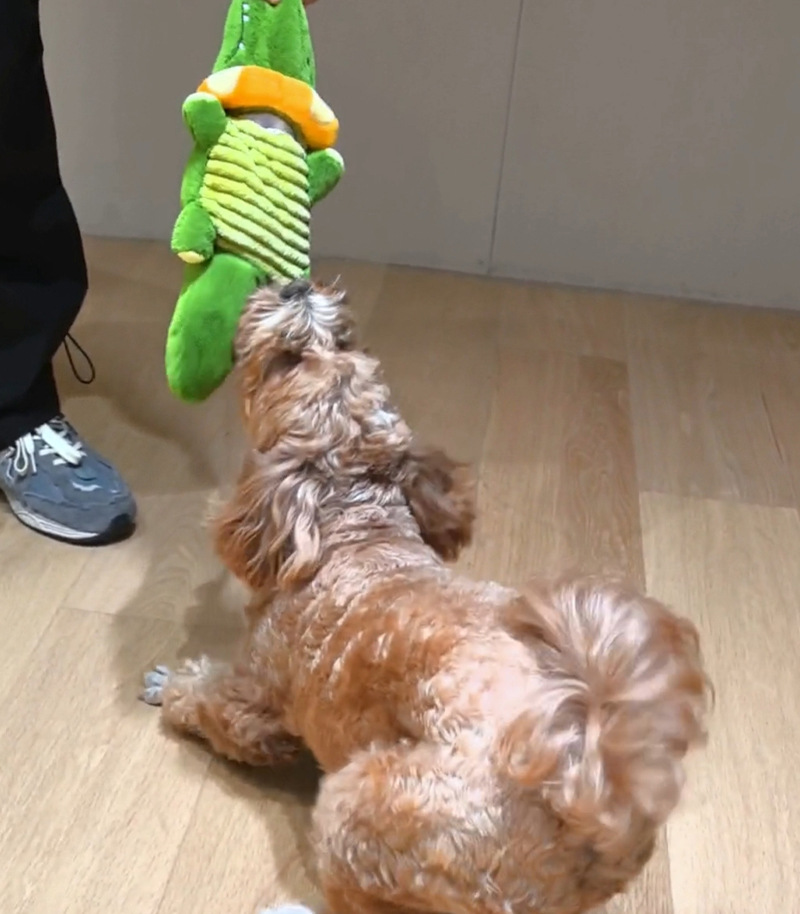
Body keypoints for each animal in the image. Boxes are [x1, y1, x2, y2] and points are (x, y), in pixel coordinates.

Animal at [142, 277, 711, 914]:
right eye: (344, 338)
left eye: (290, 359)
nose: (295, 284)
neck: (356, 532)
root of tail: (589, 793)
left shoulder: (256, 698)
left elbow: (211, 704)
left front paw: (172, 687)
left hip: (359, 810)